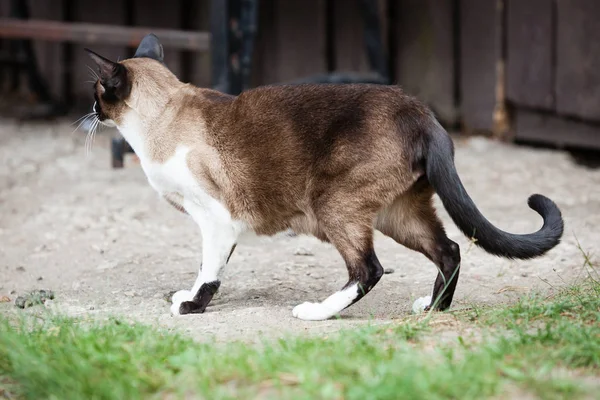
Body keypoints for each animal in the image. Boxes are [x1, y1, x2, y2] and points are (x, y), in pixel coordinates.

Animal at [84, 34, 564, 322]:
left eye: (97, 93)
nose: (90, 111)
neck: (159, 124)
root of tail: (421, 113)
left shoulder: (215, 220)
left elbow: (208, 272)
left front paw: (190, 307)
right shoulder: (218, 224)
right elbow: (207, 268)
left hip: (333, 206)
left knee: (369, 269)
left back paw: (317, 312)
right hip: (397, 215)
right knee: (449, 251)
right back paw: (431, 310)